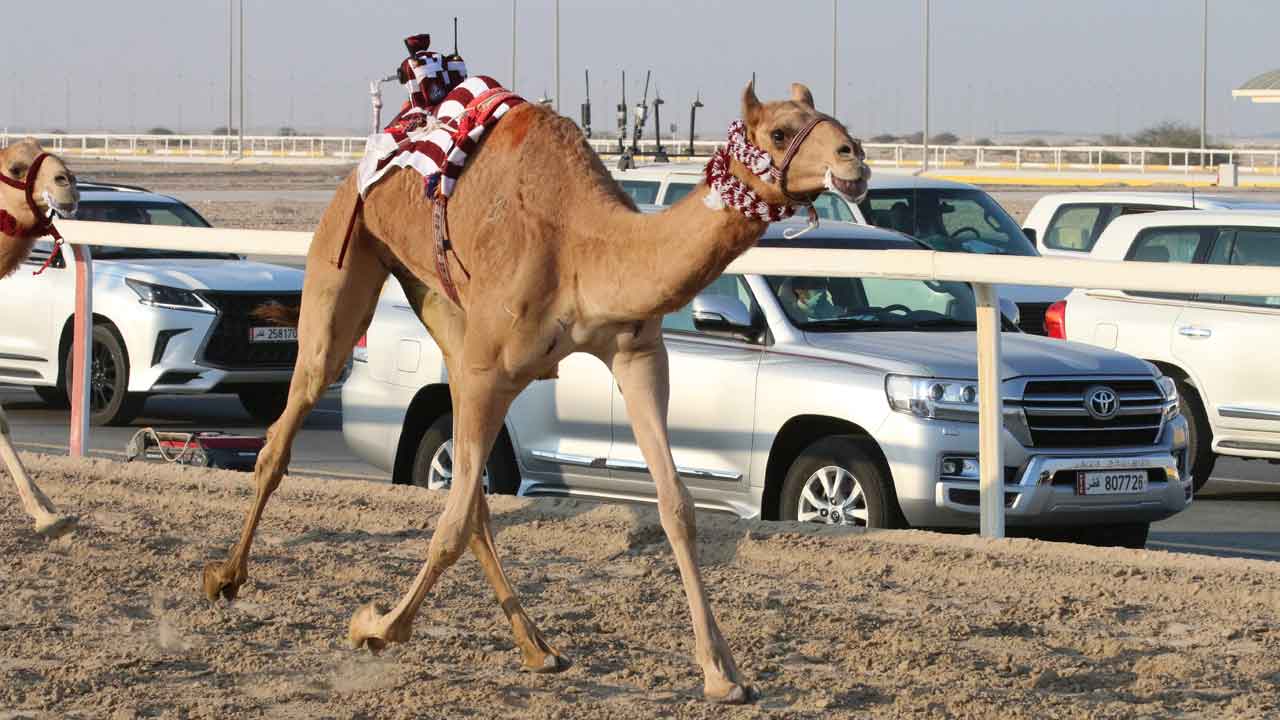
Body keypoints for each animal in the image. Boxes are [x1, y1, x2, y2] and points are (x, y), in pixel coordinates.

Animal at [202, 82, 869, 703]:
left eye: (828, 117)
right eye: (780, 131)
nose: (854, 159)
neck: (585, 248)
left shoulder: (637, 355)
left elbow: (676, 507)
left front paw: (723, 675)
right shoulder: (489, 370)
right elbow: (450, 522)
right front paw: (373, 626)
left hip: (443, 309)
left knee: (472, 496)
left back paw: (539, 648)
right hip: (346, 258)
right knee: (289, 425)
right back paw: (224, 577)